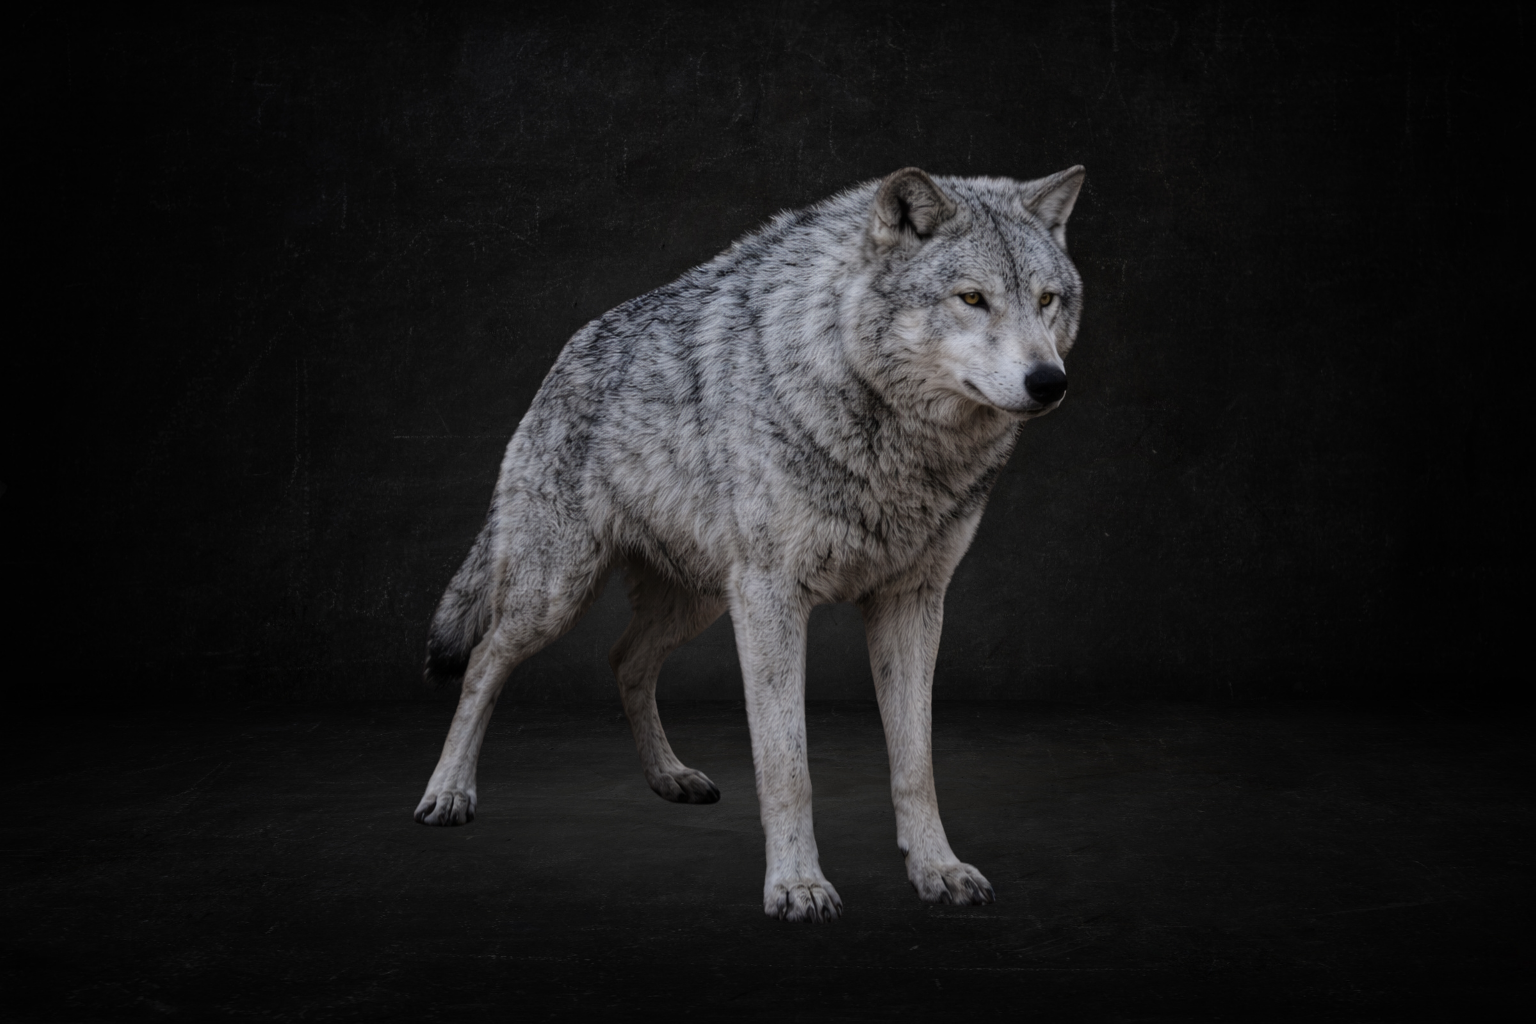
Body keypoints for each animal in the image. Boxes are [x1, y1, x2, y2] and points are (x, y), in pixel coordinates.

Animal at [414, 165, 1086, 922]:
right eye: (972, 298)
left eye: (1047, 300)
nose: (1050, 382)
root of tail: (565, 354)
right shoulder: (772, 598)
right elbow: (787, 765)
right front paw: (797, 886)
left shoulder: (913, 600)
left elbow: (915, 764)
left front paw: (937, 869)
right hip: (556, 596)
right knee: (484, 662)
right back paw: (448, 792)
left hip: (699, 602)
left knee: (623, 659)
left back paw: (669, 776)